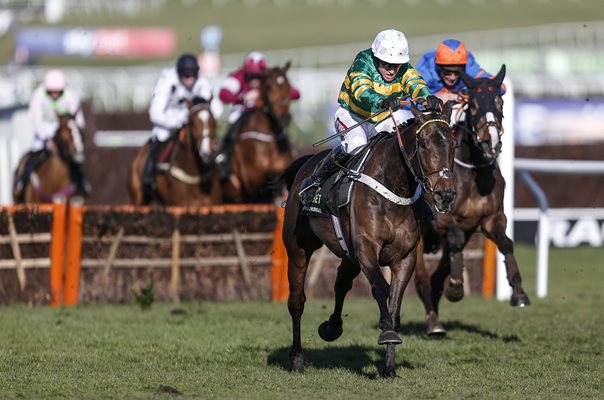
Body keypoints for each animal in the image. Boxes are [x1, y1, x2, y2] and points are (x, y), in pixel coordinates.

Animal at [280, 103, 456, 378]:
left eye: (454, 144)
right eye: (424, 144)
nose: (445, 195)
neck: (393, 187)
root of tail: (305, 165)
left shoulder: (404, 257)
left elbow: (394, 304)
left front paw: (389, 367)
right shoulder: (367, 248)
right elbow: (380, 289)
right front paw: (387, 332)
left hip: (348, 253)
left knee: (341, 283)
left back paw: (331, 328)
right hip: (298, 248)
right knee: (297, 301)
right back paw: (297, 359)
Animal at [412, 65, 532, 338]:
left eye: (499, 101)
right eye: (474, 104)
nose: (491, 142)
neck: (473, 173)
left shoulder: (491, 219)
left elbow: (506, 243)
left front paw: (519, 293)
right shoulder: (441, 219)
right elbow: (453, 236)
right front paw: (456, 287)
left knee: (436, 277)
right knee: (422, 280)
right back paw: (433, 322)